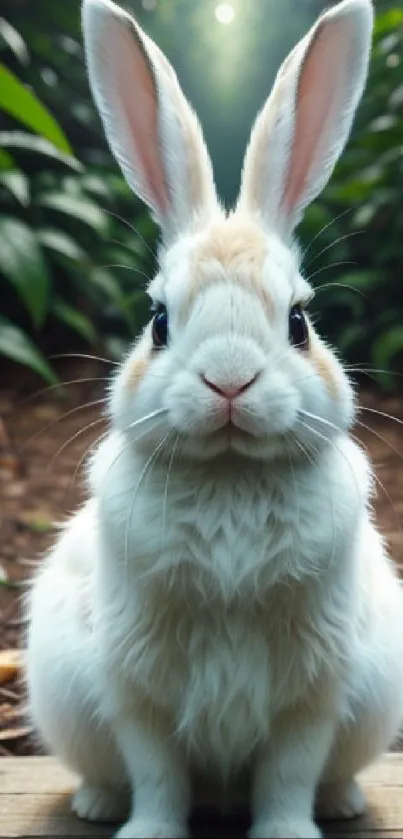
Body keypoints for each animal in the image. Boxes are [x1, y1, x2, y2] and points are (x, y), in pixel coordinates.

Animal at [26, 1, 403, 839]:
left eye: (298, 321)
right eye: (158, 319)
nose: (228, 380)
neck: (230, 475)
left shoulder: (311, 692)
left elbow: (287, 774)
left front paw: (289, 832)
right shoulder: (138, 689)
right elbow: (158, 774)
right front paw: (148, 832)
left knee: (324, 774)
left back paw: (344, 801)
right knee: (114, 774)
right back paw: (97, 804)